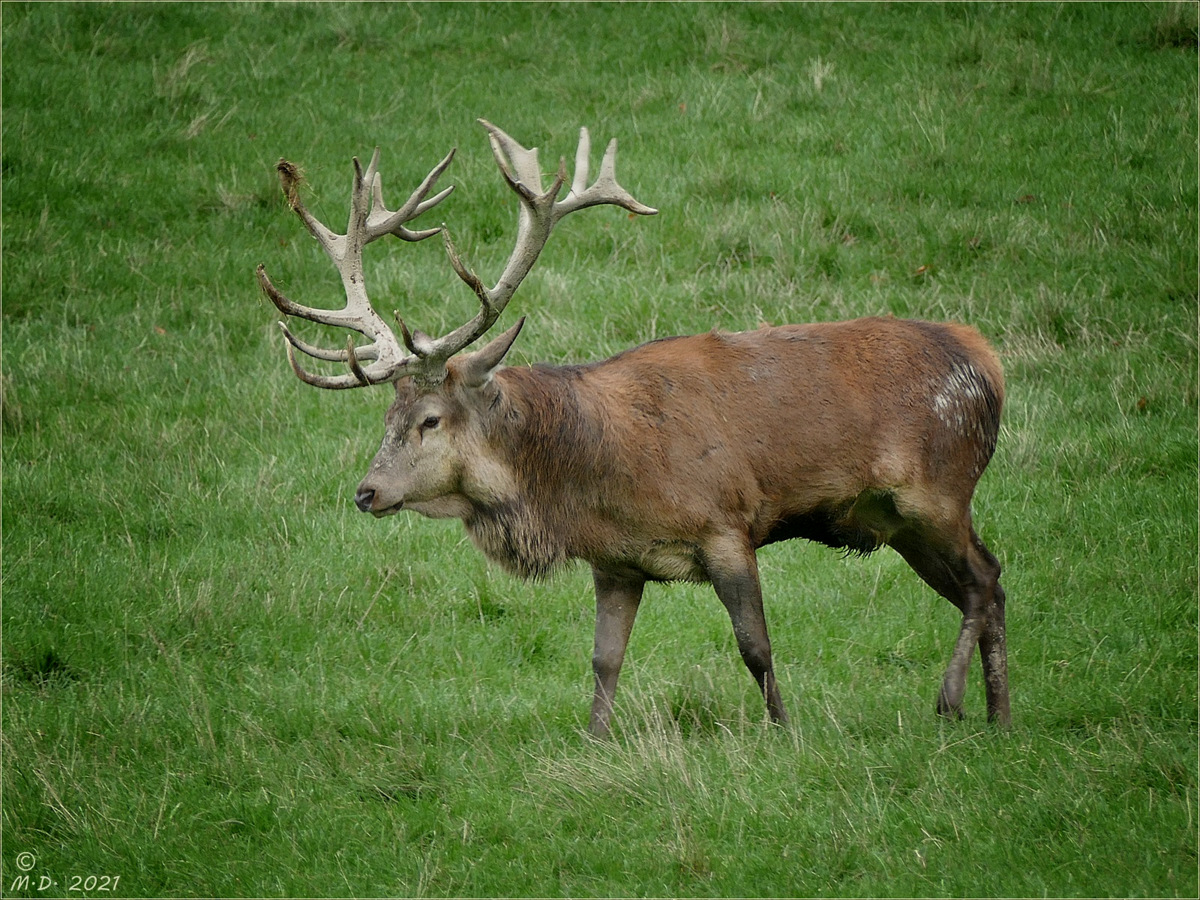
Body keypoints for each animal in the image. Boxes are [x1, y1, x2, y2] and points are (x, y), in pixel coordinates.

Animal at [258, 121, 1008, 739]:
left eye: (430, 419)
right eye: (387, 417)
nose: (367, 492)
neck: (593, 479)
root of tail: (989, 363)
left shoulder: (726, 523)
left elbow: (756, 646)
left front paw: (784, 731)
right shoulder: (615, 562)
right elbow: (604, 658)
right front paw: (595, 740)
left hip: (938, 489)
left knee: (985, 579)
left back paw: (951, 702)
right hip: (898, 522)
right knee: (989, 586)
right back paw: (999, 717)